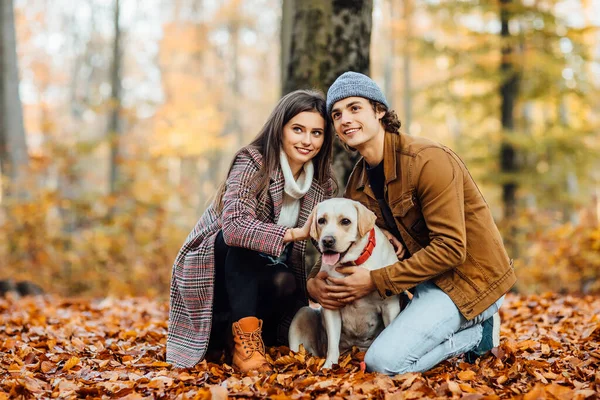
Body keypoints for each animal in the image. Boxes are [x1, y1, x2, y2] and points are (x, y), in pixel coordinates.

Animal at [288, 198, 400, 370]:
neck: (352, 264)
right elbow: (333, 343)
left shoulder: (390, 305)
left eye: (345, 221)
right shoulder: (331, 305)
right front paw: (329, 366)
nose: (327, 241)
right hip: (302, 314)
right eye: (321, 221)